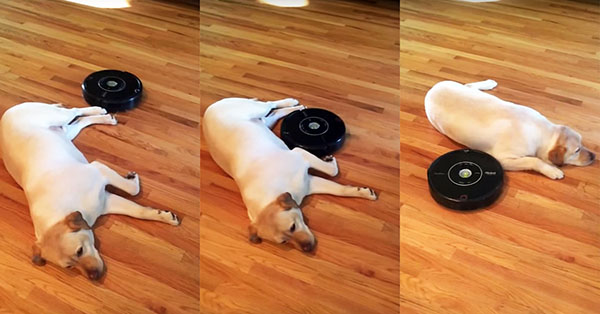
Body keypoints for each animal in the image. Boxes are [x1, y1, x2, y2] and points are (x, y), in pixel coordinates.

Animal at [0, 102, 180, 280]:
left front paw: (133, 179)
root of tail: (9, 111)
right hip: (66, 133)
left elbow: (133, 190)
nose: (94, 276)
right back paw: (105, 117)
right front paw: (164, 215)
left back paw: (99, 110)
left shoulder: (99, 170)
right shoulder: (106, 201)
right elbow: (138, 211)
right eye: (70, 267)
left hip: (56, 116)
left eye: (80, 250)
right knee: (79, 122)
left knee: (74, 111)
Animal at [204, 97, 378, 251]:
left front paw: (331, 161)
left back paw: (292, 103)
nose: (308, 249)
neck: (271, 195)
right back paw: (295, 108)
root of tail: (210, 107)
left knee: (270, 104)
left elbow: (333, 172)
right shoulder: (310, 183)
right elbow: (339, 189)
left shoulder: (301, 154)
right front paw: (363, 192)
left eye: (293, 226)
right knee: (274, 114)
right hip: (263, 123)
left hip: (253, 110)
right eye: (284, 242)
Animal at [426, 80, 596, 179]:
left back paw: (489, 83)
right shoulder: (503, 159)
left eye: (582, 144)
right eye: (576, 150)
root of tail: (432, 89)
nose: (594, 156)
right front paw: (552, 170)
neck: (543, 132)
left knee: (469, 85)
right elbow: (533, 160)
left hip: (466, 89)